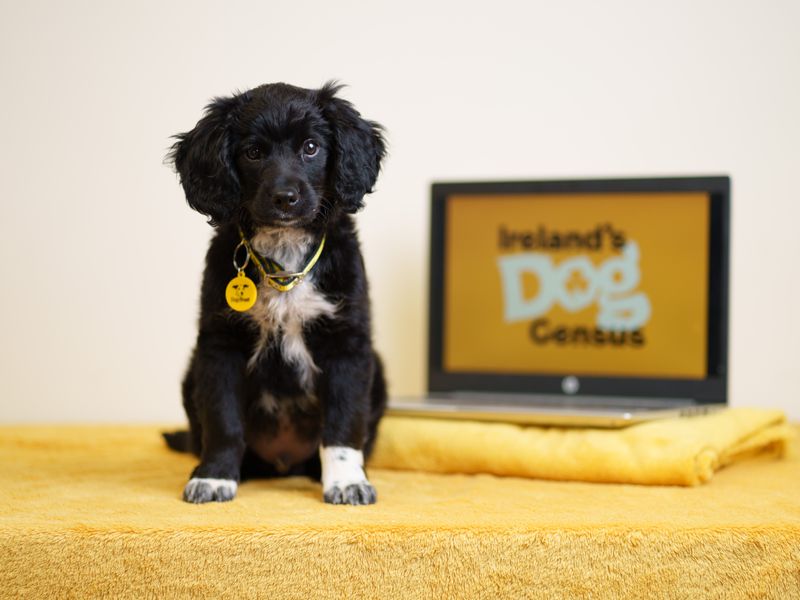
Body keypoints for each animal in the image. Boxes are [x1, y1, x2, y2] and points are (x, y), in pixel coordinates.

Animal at [163, 83, 388, 506]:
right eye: (253, 152)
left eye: (311, 147)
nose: (286, 197)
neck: (285, 258)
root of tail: (283, 463)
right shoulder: (220, 345)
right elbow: (222, 419)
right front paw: (214, 477)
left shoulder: (347, 344)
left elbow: (344, 421)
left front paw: (347, 482)